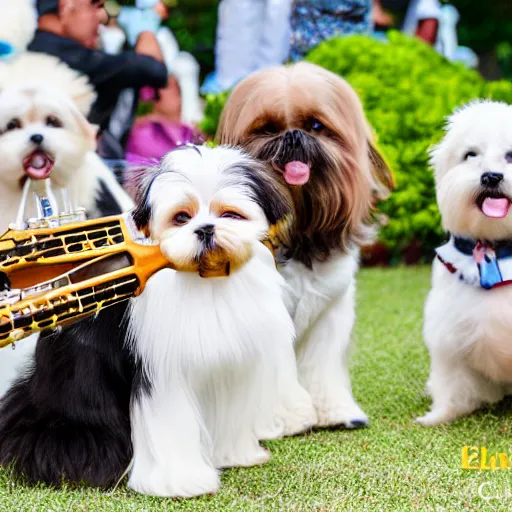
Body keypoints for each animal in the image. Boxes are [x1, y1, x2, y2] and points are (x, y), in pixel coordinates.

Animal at [126, 144, 314, 496]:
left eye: (229, 214)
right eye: (181, 217)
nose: (205, 228)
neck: (208, 280)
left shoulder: (231, 367)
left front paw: (237, 456)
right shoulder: (163, 376)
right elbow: (172, 423)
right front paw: (183, 481)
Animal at [420, 99, 512, 424]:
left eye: (511, 155)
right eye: (470, 155)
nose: (491, 176)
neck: (496, 248)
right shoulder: (449, 337)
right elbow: (452, 383)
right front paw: (441, 415)